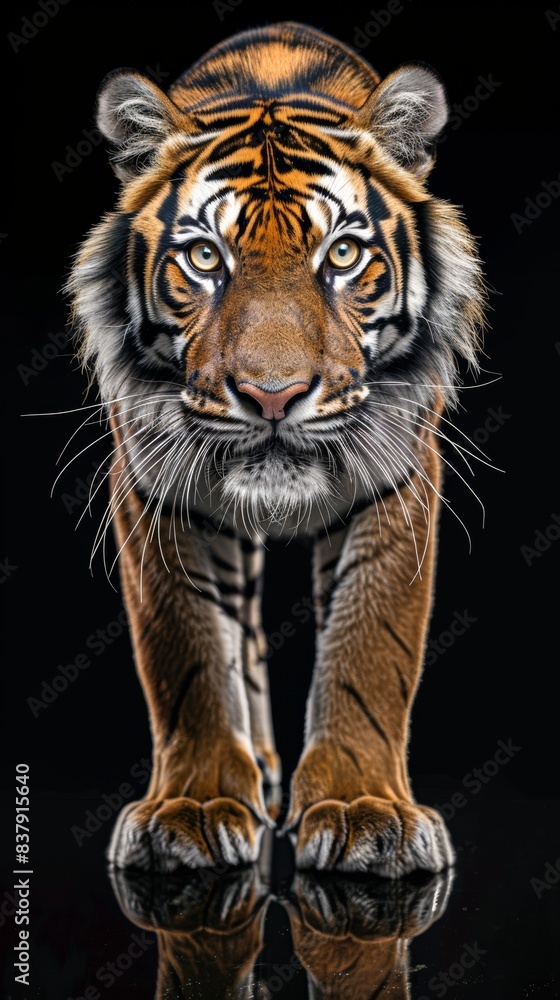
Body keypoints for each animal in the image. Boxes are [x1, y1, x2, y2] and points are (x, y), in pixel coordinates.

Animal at [68, 21, 485, 877]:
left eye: (342, 257)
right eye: (204, 259)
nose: (271, 394)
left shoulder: (400, 475)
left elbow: (369, 649)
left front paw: (365, 812)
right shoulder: (153, 482)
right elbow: (188, 651)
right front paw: (192, 809)